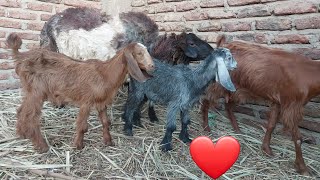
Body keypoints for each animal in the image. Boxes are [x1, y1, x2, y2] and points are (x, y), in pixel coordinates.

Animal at [5, 32, 154, 153]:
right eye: (139, 53)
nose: (152, 66)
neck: (105, 74)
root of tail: (21, 56)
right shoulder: (86, 101)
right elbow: (82, 126)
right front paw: (78, 145)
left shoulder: (101, 102)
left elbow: (106, 122)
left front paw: (108, 141)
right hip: (37, 91)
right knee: (31, 117)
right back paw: (42, 146)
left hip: (29, 90)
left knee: (21, 110)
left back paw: (21, 134)